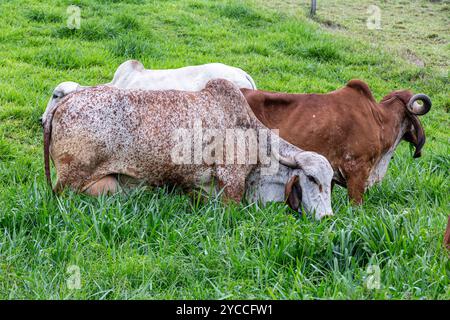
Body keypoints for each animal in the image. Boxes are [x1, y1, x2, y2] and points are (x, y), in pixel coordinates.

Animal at [44, 79, 336, 219]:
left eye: (331, 183)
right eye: (312, 179)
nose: (327, 217)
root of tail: (64, 103)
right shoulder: (231, 184)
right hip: (70, 181)